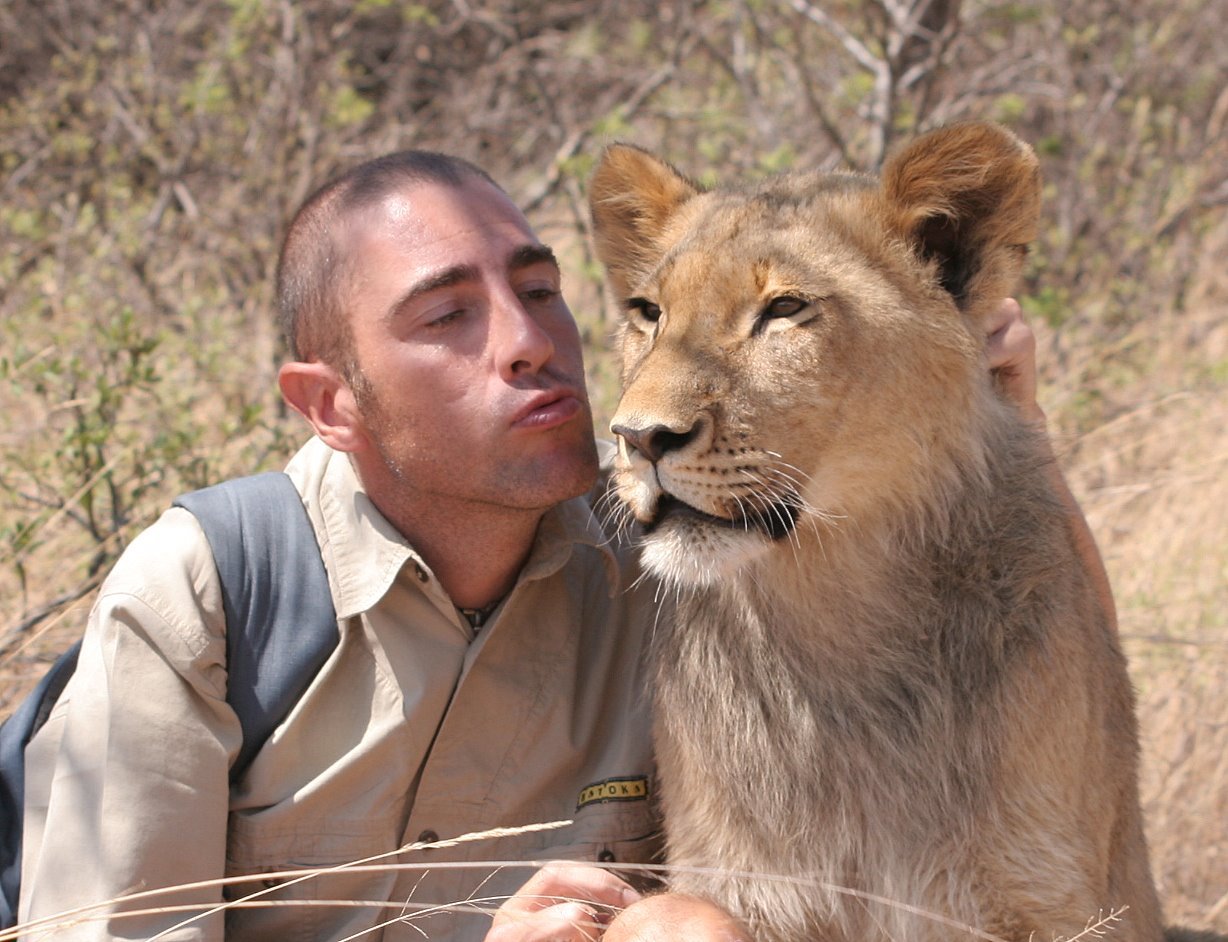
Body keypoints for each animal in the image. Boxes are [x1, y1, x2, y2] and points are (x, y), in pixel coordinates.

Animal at [587, 122, 1165, 942]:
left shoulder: (1047, 897)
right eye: (647, 311)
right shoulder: (743, 885)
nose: (637, 438)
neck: (835, 612)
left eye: (785, 309)